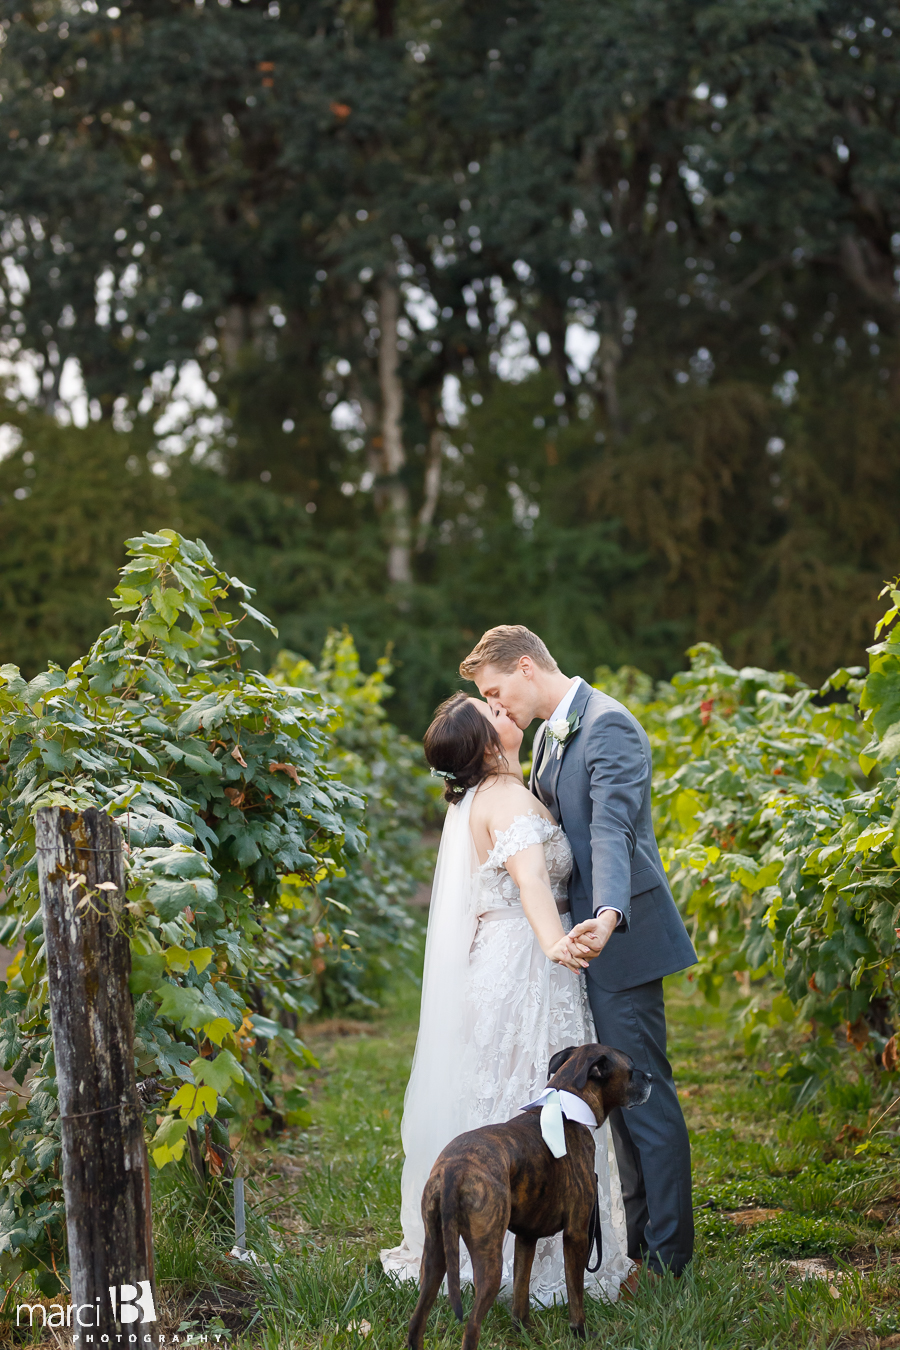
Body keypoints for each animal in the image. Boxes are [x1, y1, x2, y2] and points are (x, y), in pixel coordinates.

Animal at [407, 1042, 647, 1350]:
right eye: (631, 1070)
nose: (650, 1077)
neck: (566, 1108)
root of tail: (454, 1171)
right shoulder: (577, 1235)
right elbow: (575, 1292)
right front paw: (579, 1332)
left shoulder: (526, 1238)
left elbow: (521, 1291)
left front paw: (521, 1330)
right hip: (489, 1262)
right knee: (471, 1327)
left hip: (435, 1257)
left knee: (417, 1321)